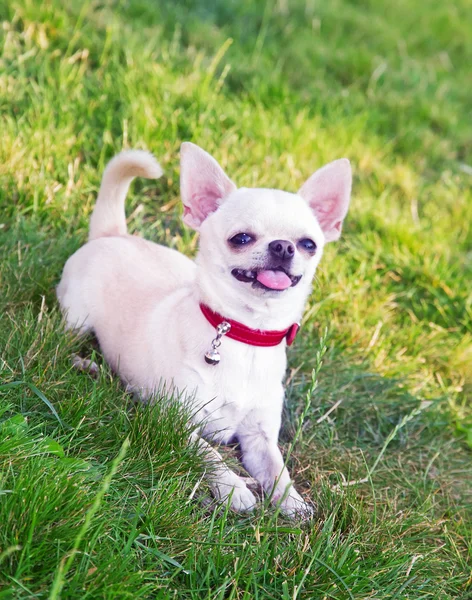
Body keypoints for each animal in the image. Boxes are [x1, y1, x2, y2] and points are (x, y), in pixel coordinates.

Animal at [57, 144, 350, 516]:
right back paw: (88, 365)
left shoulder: (259, 438)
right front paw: (233, 487)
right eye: (241, 238)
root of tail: (114, 234)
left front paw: (292, 500)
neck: (246, 335)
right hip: (75, 320)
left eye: (308, 244)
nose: (283, 246)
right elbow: (207, 452)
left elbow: (278, 469)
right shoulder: (174, 421)